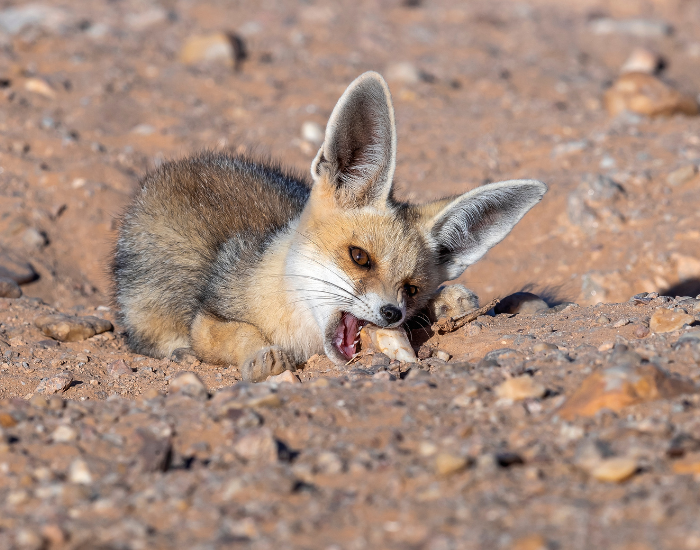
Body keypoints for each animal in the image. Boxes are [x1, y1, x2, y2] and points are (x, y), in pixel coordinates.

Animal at [113, 71, 547, 382]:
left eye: (411, 288)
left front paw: (444, 301)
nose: (392, 313)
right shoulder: (209, 315)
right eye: (359, 257)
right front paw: (262, 356)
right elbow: (238, 334)